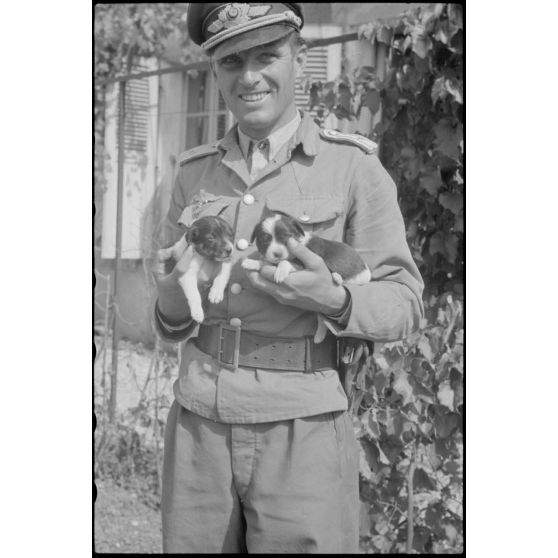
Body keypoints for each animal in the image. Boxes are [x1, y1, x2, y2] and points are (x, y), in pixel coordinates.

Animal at [244, 214, 372, 344]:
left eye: (287, 237)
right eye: (265, 241)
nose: (277, 254)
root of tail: (366, 271)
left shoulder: (301, 263)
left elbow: (286, 262)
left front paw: (280, 271)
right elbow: (266, 262)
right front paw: (251, 263)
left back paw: (337, 277)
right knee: (322, 320)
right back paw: (319, 336)